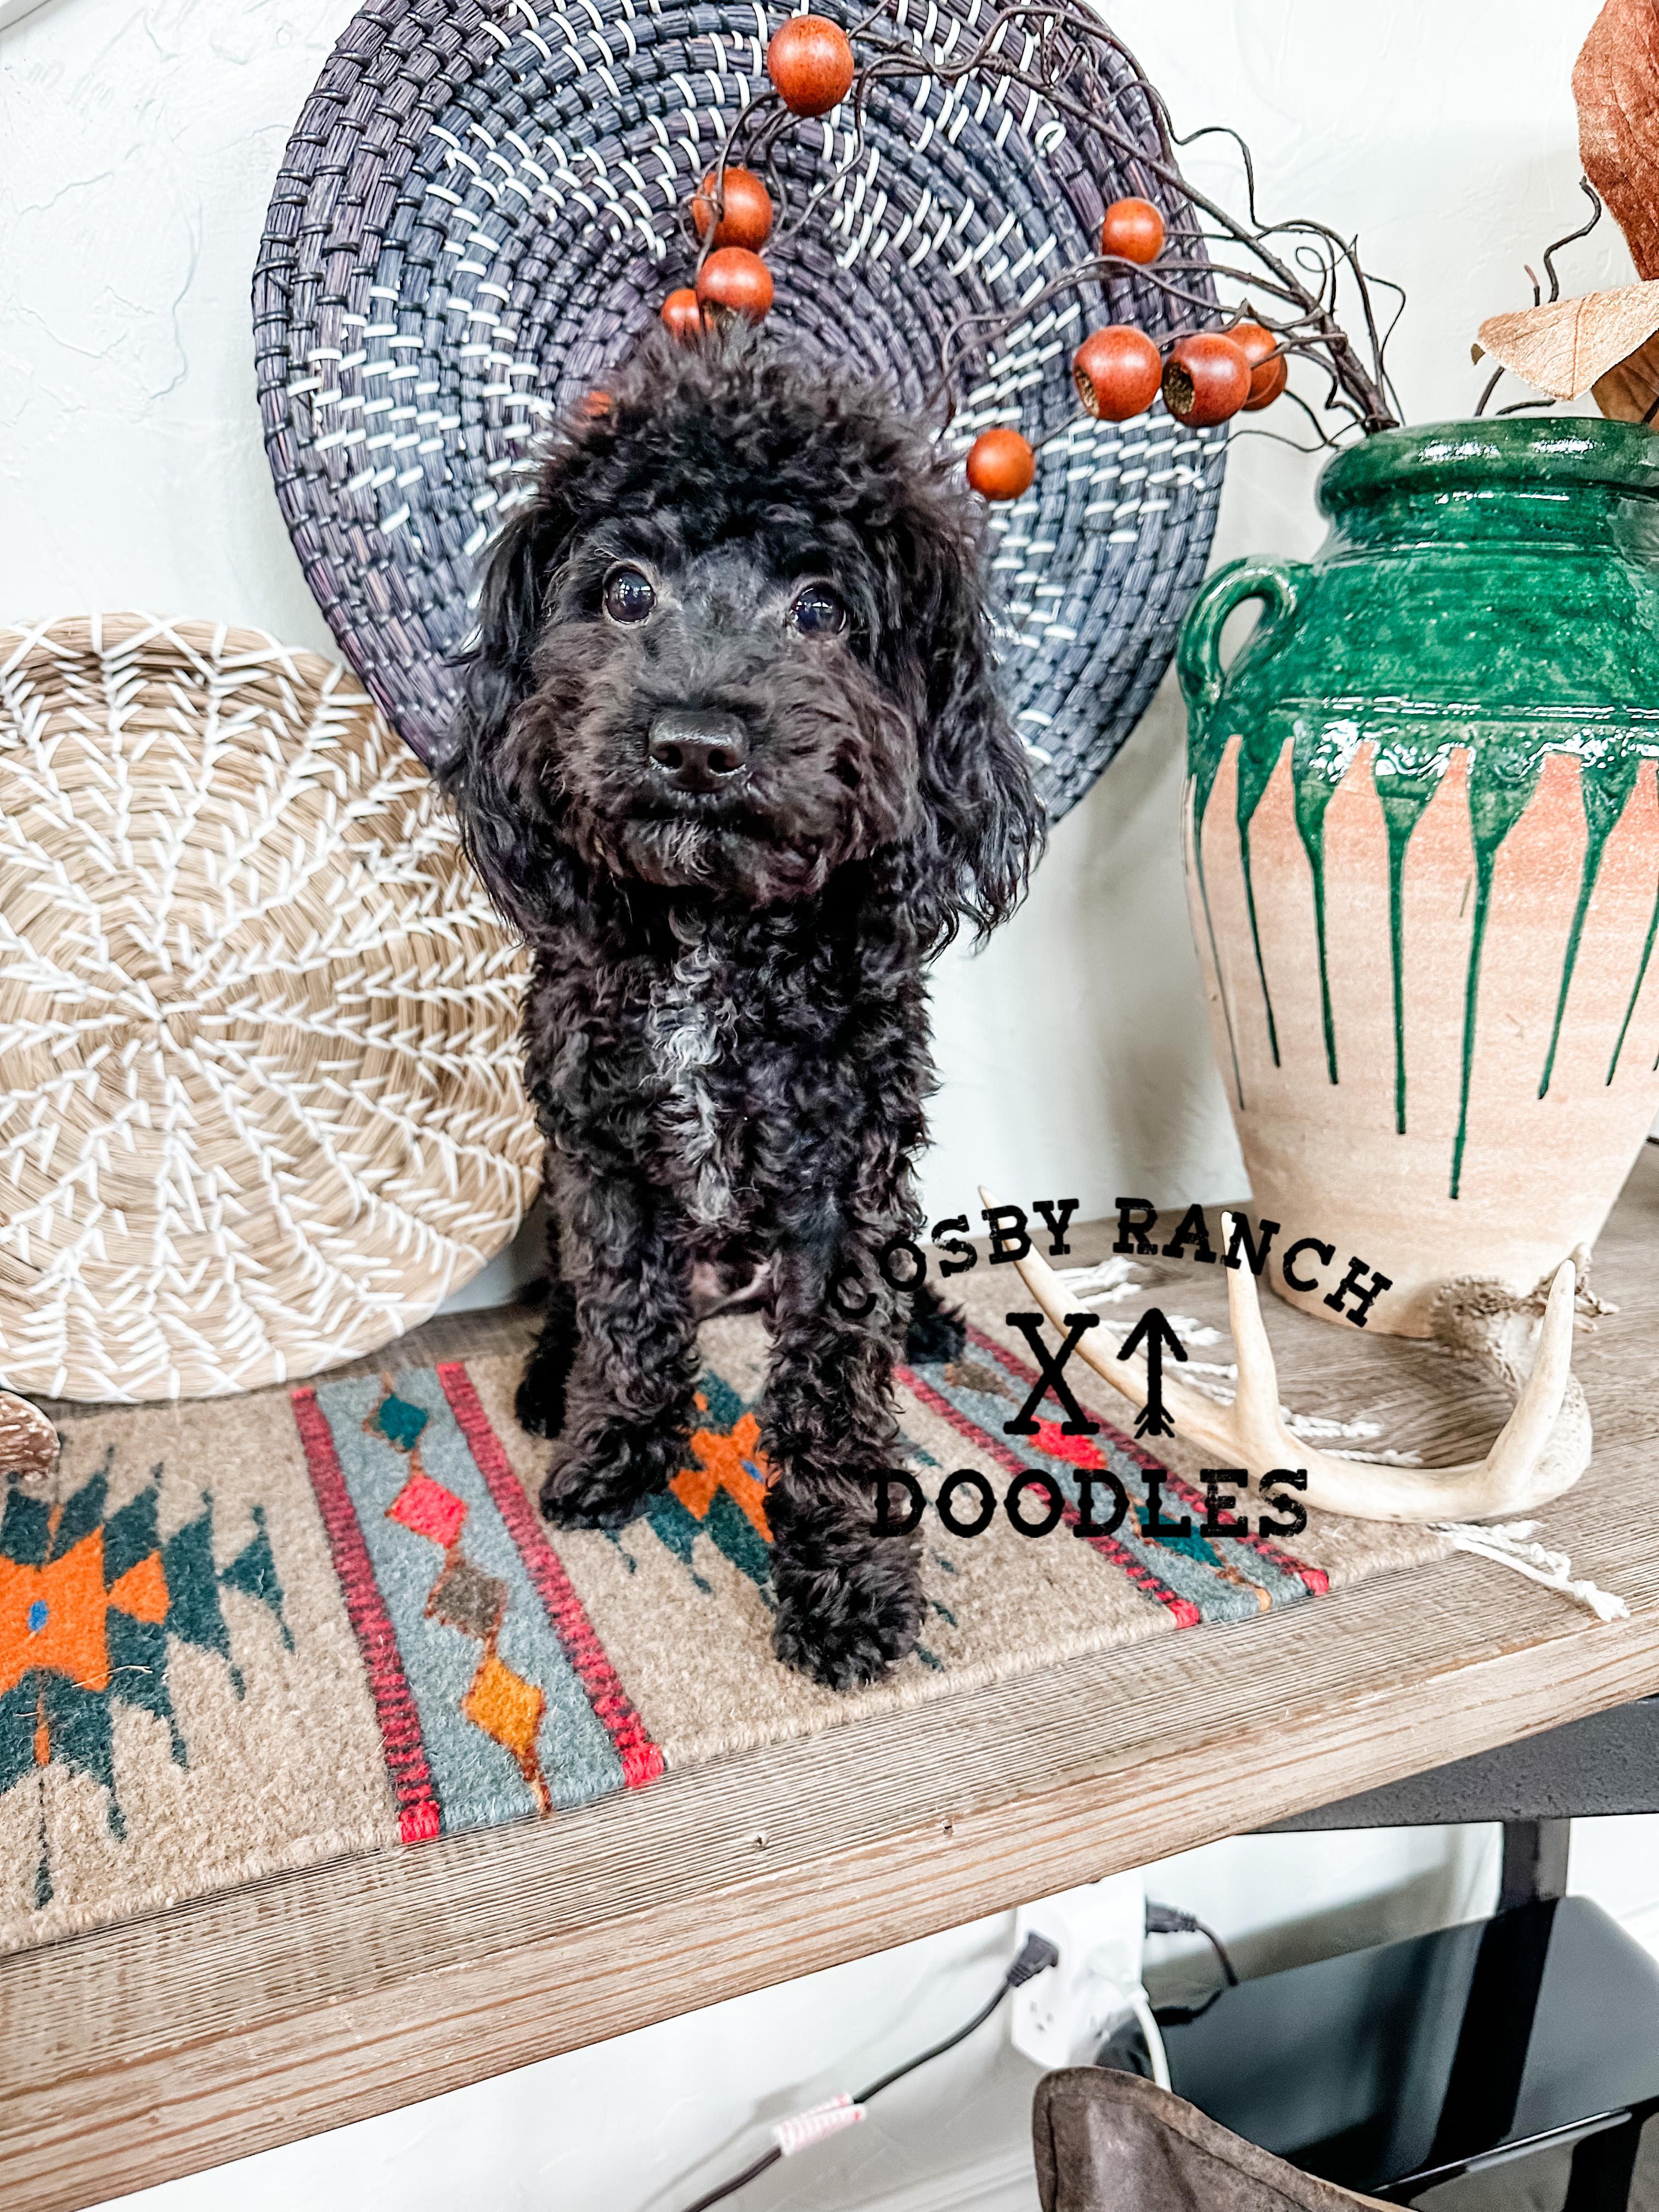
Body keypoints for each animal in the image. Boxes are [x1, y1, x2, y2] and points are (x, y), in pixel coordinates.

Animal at [436, 325, 1044, 1688]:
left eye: (821, 610)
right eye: (624, 592)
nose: (698, 743)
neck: (713, 943)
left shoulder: (841, 1197)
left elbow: (832, 1406)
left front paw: (850, 1586)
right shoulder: (601, 1159)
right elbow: (627, 1317)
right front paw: (618, 1450)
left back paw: (931, 1324)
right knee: (577, 1302)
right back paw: (551, 1383)